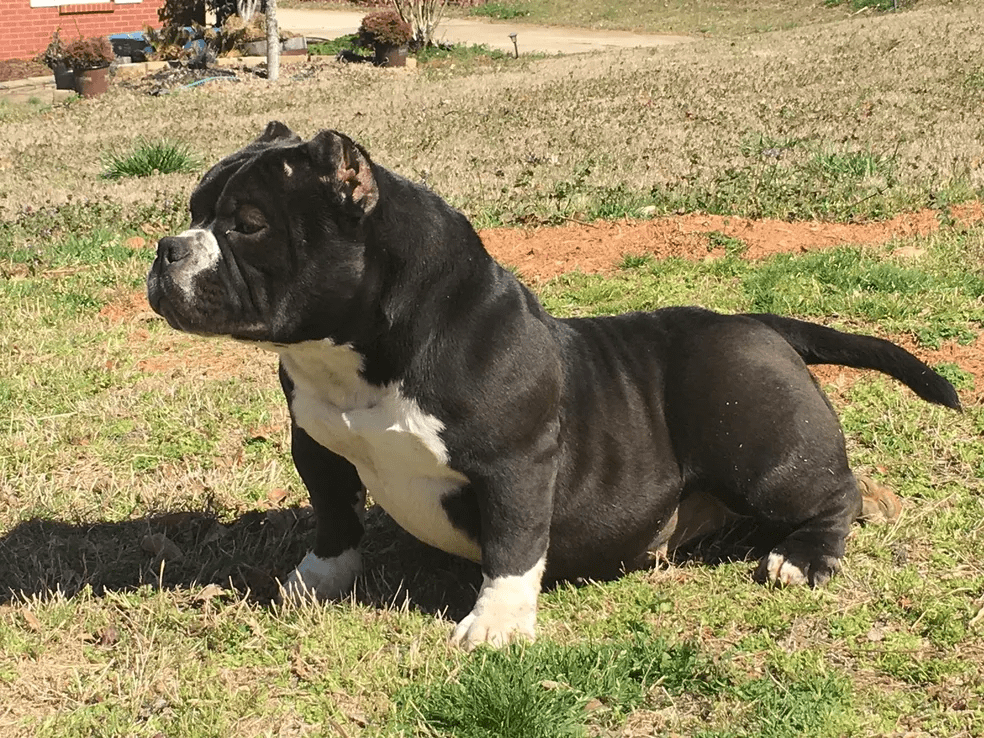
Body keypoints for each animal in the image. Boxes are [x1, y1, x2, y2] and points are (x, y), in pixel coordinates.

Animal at [146, 123, 960, 648]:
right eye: (194, 212)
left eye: (248, 224)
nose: (165, 248)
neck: (357, 355)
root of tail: (755, 321)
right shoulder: (317, 445)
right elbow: (334, 517)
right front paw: (316, 579)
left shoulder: (513, 465)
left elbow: (512, 545)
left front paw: (497, 625)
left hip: (760, 448)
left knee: (834, 494)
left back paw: (805, 556)